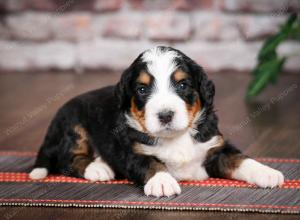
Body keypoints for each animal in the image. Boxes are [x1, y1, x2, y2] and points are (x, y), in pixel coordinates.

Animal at [28, 46, 284, 198]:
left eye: (182, 84)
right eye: (142, 89)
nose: (165, 115)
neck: (176, 137)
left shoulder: (215, 147)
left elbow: (241, 160)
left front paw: (267, 172)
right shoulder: (132, 151)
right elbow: (150, 163)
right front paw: (162, 181)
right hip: (74, 125)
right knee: (67, 159)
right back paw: (98, 168)